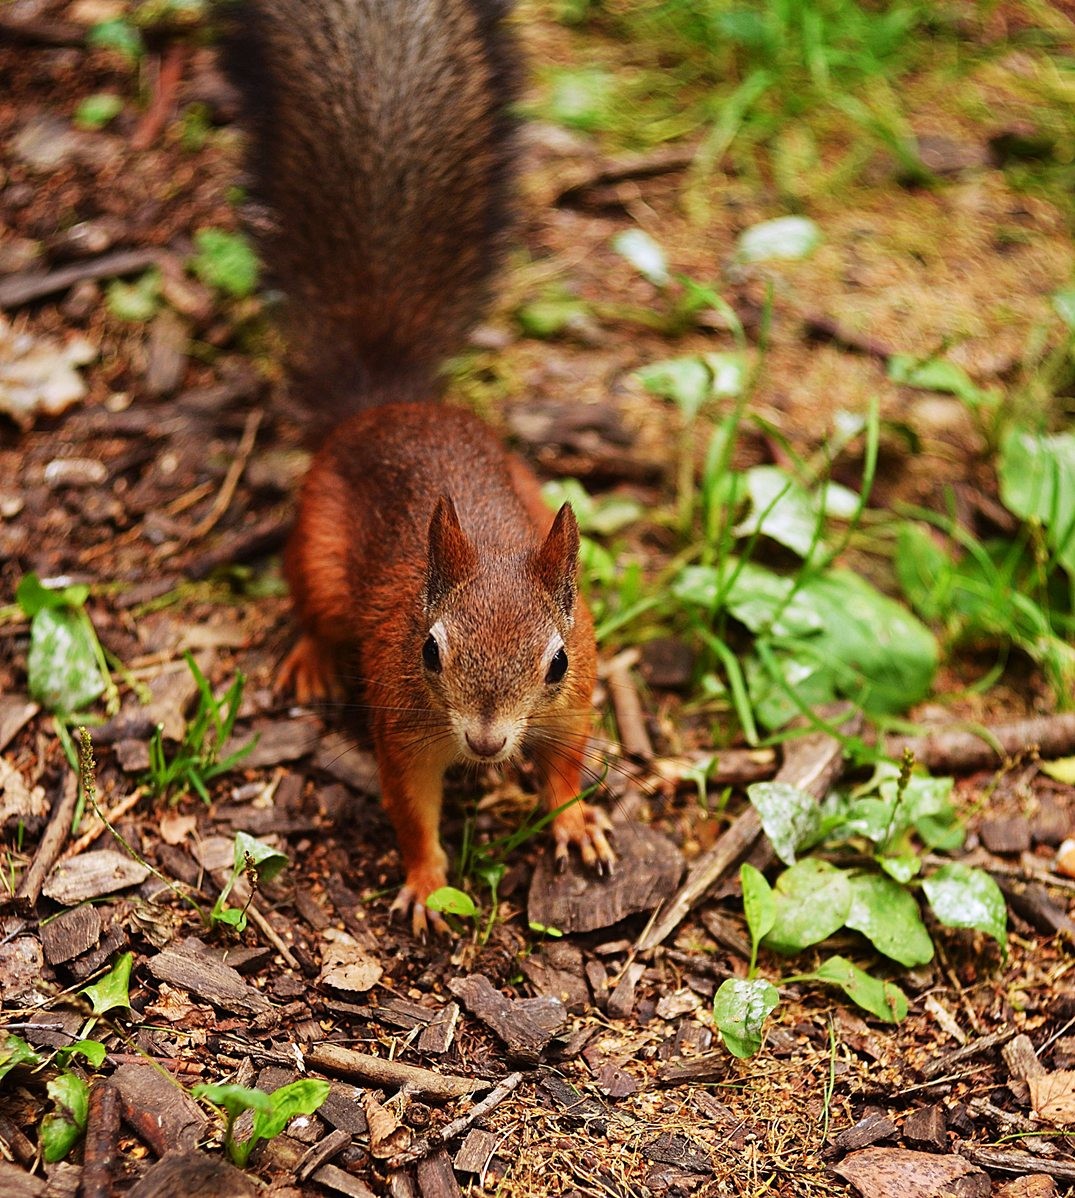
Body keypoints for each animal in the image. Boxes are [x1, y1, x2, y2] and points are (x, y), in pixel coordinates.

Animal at [225, 0, 615, 933]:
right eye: (429, 651)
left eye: (553, 662)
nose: (485, 741)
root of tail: (385, 405)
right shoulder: (402, 724)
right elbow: (409, 805)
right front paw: (429, 881)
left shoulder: (577, 692)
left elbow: (564, 762)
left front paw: (573, 820)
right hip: (318, 551)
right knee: (310, 607)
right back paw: (309, 658)